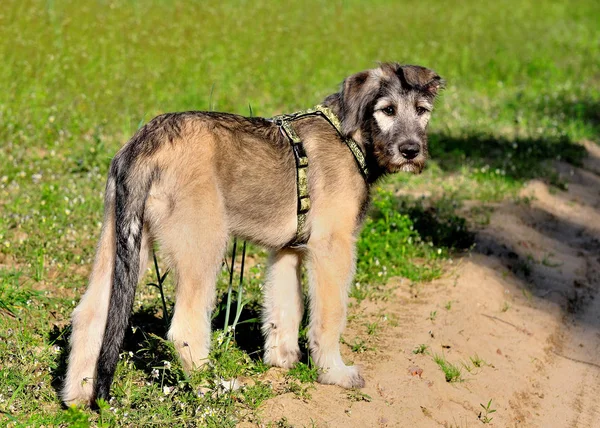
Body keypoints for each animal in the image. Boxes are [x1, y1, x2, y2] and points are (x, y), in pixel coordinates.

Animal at [63, 61, 442, 406]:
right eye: (387, 110)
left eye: (422, 111)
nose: (411, 151)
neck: (351, 136)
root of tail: (146, 142)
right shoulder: (332, 247)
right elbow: (328, 316)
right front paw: (333, 372)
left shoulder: (288, 250)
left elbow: (285, 309)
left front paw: (282, 360)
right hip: (204, 246)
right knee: (184, 327)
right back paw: (213, 389)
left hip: (122, 242)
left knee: (89, 315)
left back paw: (78, 398)